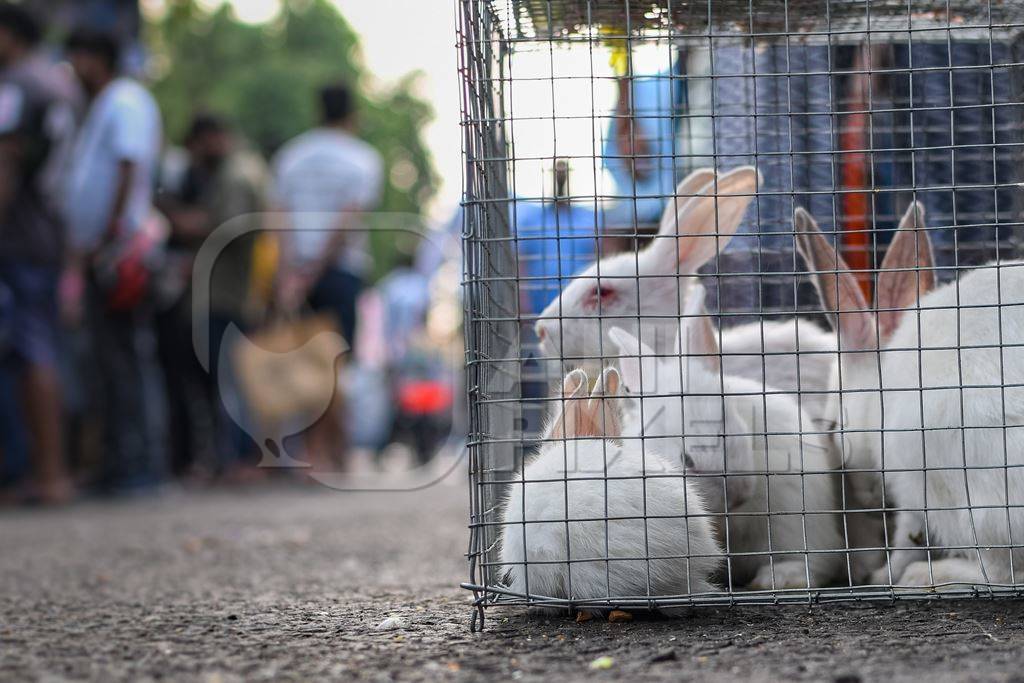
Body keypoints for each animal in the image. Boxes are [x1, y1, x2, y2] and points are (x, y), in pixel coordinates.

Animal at [602, 286, 843, 589]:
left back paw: (777, 578)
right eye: (686, 460)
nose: (738, 495)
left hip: (794, 523)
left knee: (817, 561)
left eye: (725, 424)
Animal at [794, 204, 1024, 589]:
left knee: (1001, 573)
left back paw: (927, 575)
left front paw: (882, 576)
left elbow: (906, 539)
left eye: (835, 425)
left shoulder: (908, 486)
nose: (866, 501)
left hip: (975, 504)